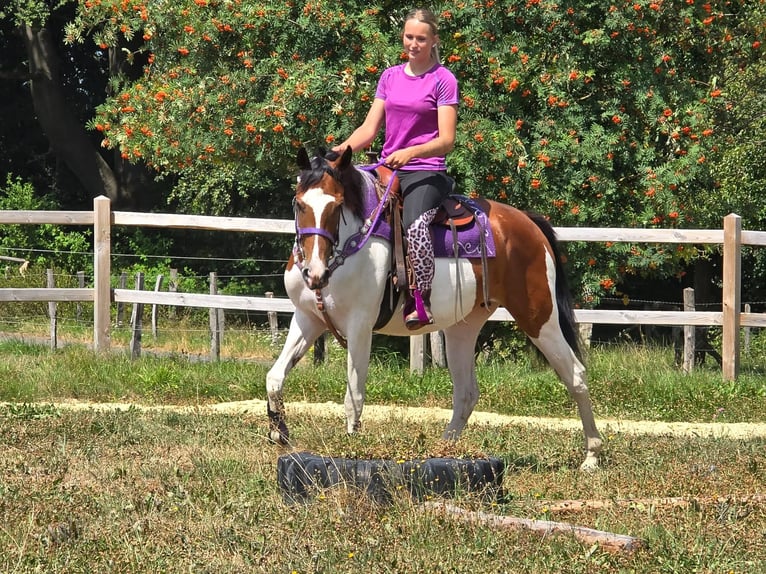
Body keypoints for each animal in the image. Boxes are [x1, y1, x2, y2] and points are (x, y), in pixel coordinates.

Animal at [266, 146, 602, 470]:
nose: (314, 272)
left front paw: (351, 450)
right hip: (462, 328)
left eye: (337, 206)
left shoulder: (360, 326)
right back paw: (444, 450)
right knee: (466, 393)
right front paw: (279, 432)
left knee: (576, 375)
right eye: (299, 204)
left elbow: (354, 397)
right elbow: (274, 378)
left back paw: (592, 456)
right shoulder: (307, 319)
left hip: (538, 317)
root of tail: (529, 223)